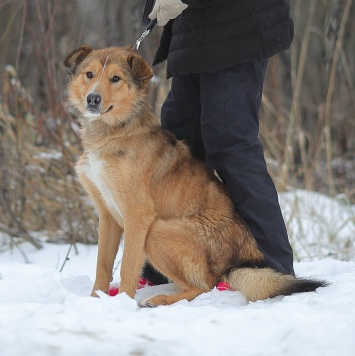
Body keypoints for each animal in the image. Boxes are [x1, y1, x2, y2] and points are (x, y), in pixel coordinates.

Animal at [64, 44, 328, 306]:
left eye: (115, 78)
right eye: (89, 74)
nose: (93, 99)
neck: (113, 133)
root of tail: (237, 263)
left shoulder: (137, 216)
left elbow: (127, 267)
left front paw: (122, 302)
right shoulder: (107, 215)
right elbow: (103, 265)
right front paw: (95, 300)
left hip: (157, 232)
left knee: (202, 287)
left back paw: (159, 299)